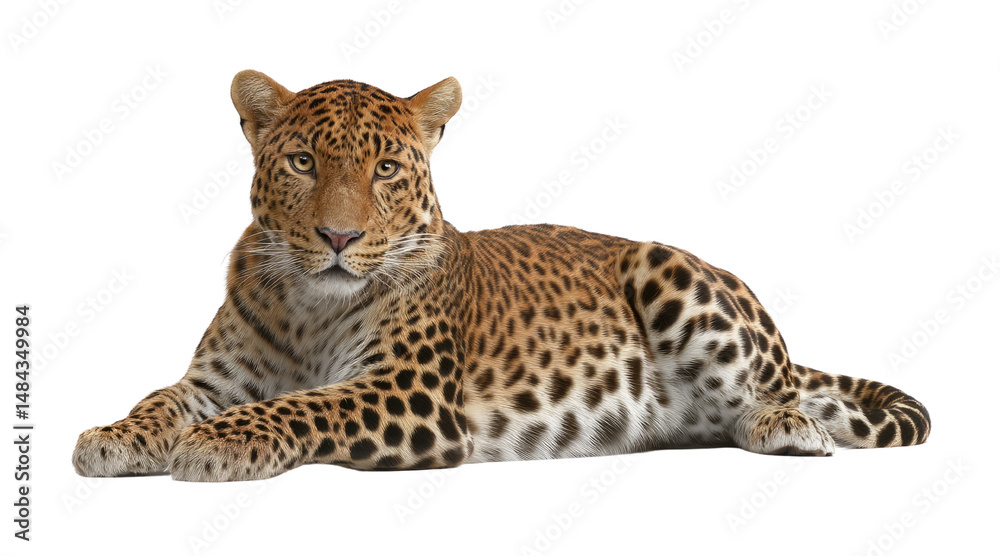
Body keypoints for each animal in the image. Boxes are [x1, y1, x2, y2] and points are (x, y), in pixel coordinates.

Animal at [72, 71, 931, 481]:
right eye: (303, 162)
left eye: (386, 169)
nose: (340, 236)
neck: (309, 306)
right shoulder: (216, 378)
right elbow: (161, 400)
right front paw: (112, 437)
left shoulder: (408, 394)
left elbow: (302, 404)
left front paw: (217, 444)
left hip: (670, 267)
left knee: (781, 395)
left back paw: (789, 428)